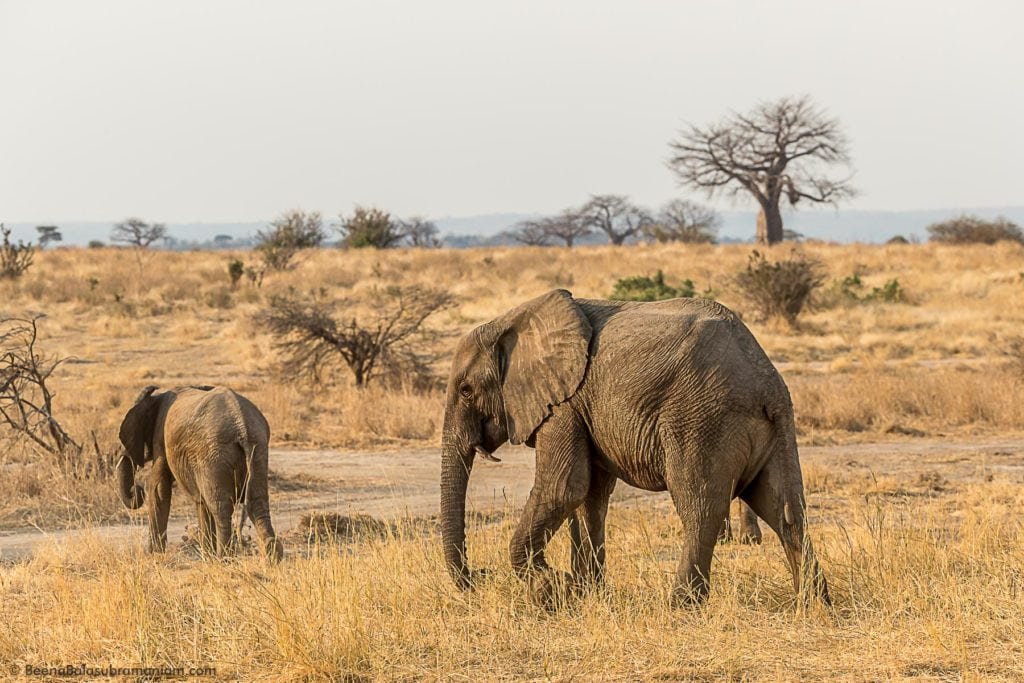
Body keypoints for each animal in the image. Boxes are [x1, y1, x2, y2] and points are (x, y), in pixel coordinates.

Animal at [116, 385, 284, 561]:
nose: (136, 489)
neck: (157, 397)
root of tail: (242, 427)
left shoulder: (160, 439)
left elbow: (158, 488)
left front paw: (154, 555)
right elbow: (201, 501)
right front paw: (207, 556)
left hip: (214, 453)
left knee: (221, 507)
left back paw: (224, 558)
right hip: (257, 449)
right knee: (257, 502)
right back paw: (272, 554)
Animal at [438, 288, 823, 602]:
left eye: (466, 390)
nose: (479, 577)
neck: (511, 321)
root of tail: (765, 381)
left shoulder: (565, 404)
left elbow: (563, 488)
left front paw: (548, 589)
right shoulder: (583, 406)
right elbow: (589, 497)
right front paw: (584, 594)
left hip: (703, 420)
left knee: (699, 506)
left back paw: (681, 606)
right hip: (775, 427)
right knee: (785, 508)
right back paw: (812, 604)